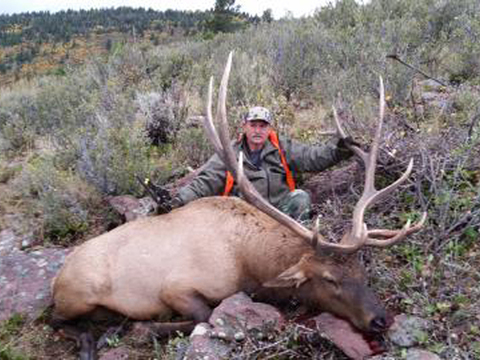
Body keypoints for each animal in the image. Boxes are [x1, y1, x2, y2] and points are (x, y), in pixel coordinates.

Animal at [51, 52, 428, 358]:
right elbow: (204, 315)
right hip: (78, 293)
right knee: (56, 321)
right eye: (330, 279)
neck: (247, 263)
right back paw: (93, 340)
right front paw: (146, 328)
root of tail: (58, 277)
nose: (380, 319)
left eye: (362, 271)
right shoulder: (174, 288)